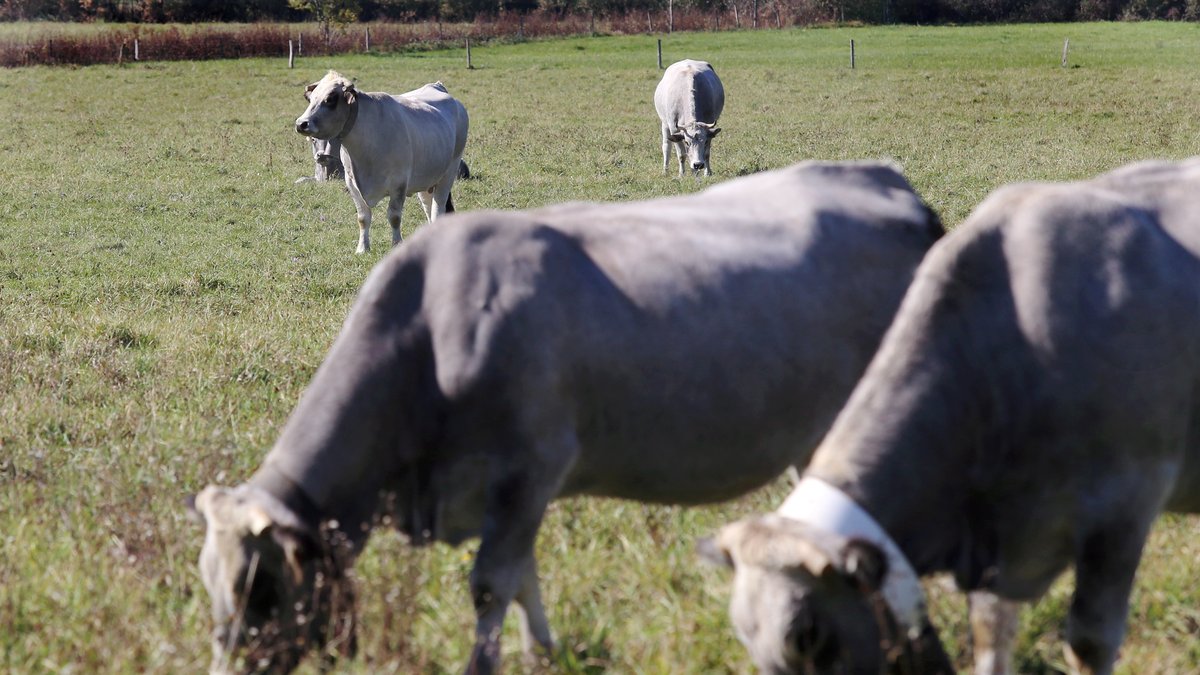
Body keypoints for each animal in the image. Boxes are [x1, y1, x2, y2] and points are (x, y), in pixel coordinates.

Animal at [189, 160, 943, 674]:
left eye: (259, 588)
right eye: (210, 587)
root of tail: (888, 184)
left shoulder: (530, 468)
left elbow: (491, 586)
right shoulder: (510, 494)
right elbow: (524, 580)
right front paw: (544, 653)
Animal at [295, 71, 469, 254]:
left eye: (330, 99)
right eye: (312, 98)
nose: (301, 123)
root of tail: (437, 86)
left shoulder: (399, 184)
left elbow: (394, 217)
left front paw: (397, 245)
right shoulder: (352, 184)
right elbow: (363, 218)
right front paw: (362, 248)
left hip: (449, 172)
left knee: (438, 207)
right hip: (427, 180)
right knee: (428, 207)